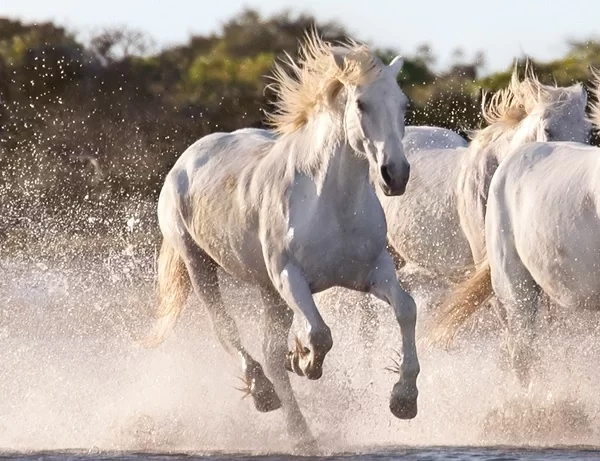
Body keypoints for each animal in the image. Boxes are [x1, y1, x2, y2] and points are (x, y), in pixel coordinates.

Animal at [143, 31, 420, 450]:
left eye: (403, 104)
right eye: (361, 103)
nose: (396, 174)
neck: (331, 203)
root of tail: (186, 159)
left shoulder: (373, 272)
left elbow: (406, 309)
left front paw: (404, 398)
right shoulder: (290, 276)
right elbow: (320, 334)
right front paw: (305, 360)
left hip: (267, 290)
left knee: (270, 351)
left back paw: (299, 428)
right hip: (200, 264)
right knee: (228, 331)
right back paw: (267, 397)